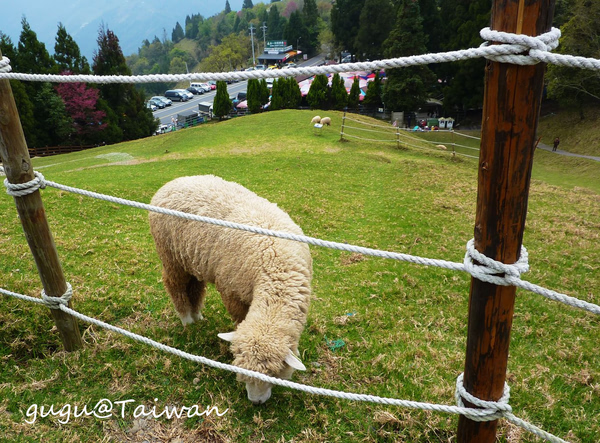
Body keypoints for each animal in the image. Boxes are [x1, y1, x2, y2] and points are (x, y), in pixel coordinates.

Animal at [149, 175, 314, 404]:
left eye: (273, 374)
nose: (256, 402)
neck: (276, 266)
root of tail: (173, 182)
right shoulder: (232, 292)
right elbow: (239, 319)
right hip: (170, 255)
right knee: (175, 285)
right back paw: (187, 319)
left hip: (190, 258)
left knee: (195, 287)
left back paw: (197, 315)